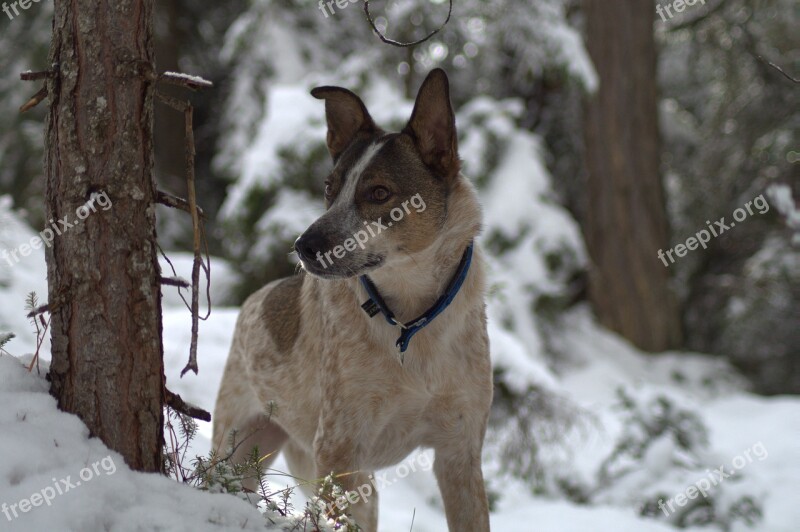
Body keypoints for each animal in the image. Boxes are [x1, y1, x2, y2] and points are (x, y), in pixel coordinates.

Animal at [212, 68, 494, 528]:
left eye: (379, 193)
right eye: (330, 188)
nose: (303, 246)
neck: (411, 323)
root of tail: (255, 299)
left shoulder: (460, 449)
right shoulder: (340, 449)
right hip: (240, 448)